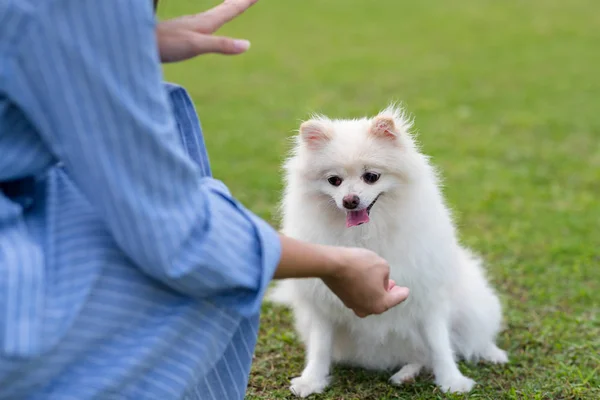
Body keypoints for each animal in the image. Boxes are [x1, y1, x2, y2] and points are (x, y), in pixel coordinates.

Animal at [270, 105, 508, 396]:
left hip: (472, 303)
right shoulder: (324, 303)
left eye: (371, 176)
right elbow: (320, 345)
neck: (366, 233)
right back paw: (406, 374)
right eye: (334, 180)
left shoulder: (427, 295)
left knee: (467, 339)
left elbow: (439, 343)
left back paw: (490, 353)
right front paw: (311, 380)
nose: (350, 200)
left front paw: (452, 380)